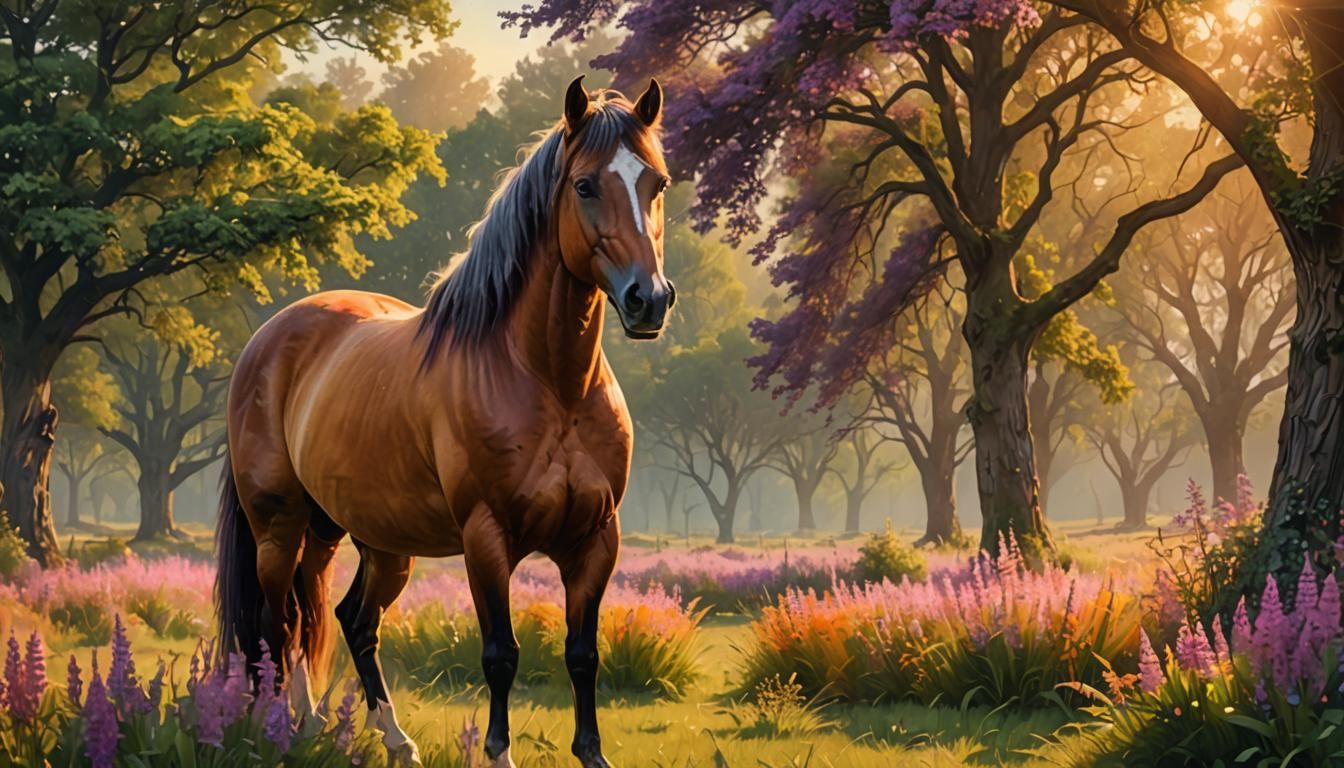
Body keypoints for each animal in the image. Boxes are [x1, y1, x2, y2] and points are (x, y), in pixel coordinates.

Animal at [214, 76, 672, 768]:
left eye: (657, 183)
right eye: (586, 185)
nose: (649, 300)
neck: (549, 383)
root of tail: (268, 339)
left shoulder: (596, 540)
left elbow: (583, 655)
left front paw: (592, 754)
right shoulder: (487, 539)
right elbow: (501, 655)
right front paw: (498, 754)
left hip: (357, 535)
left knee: (343, 617)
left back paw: (362, 733)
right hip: (278, 525)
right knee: (279, 623)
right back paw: (282, 729)